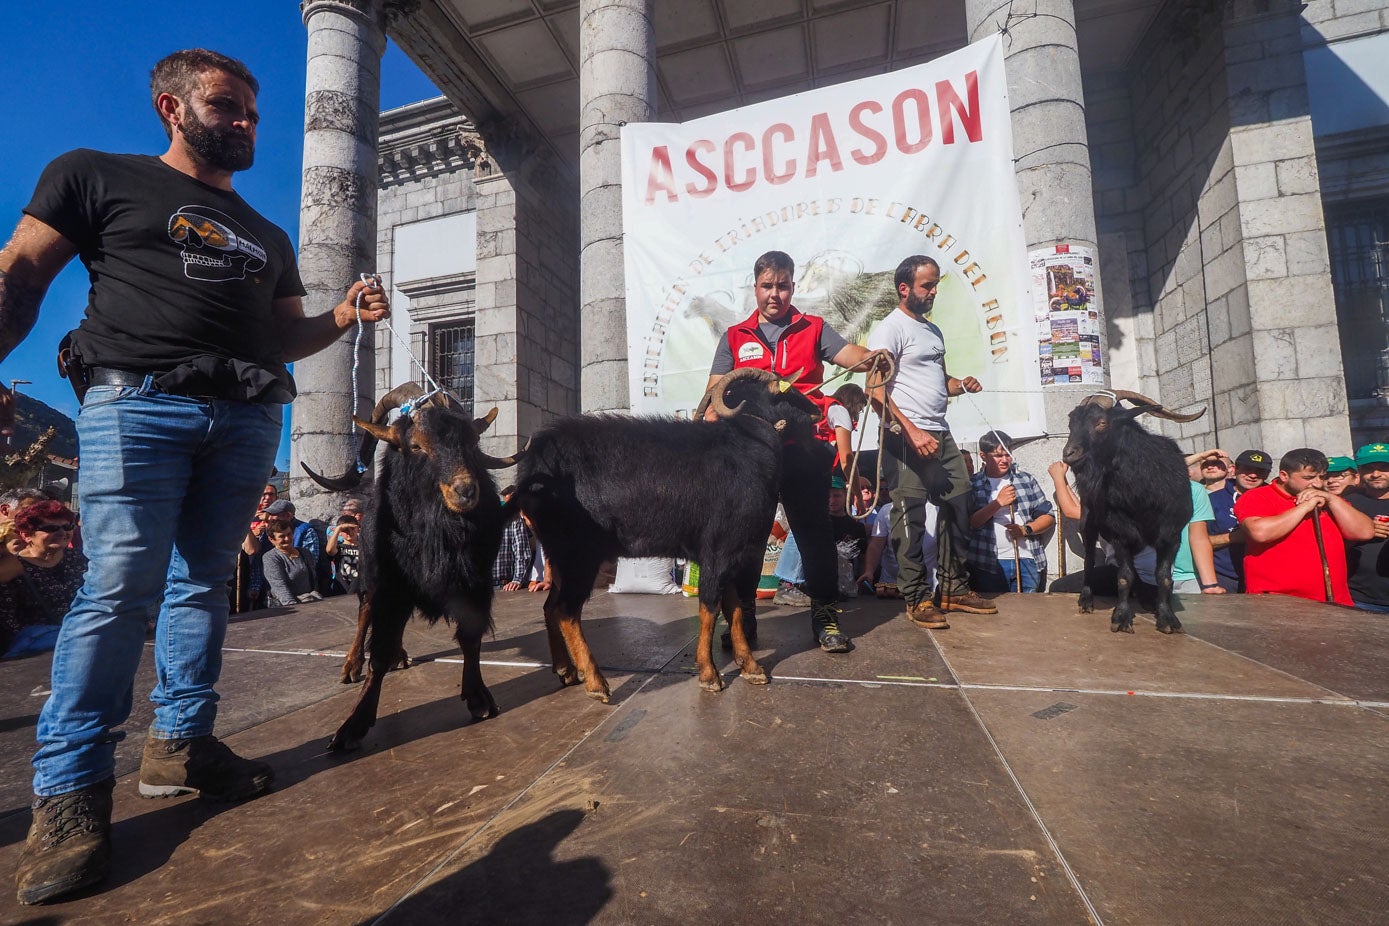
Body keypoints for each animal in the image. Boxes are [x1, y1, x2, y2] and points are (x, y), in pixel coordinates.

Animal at [304, 383, 522, 755]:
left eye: (471, 443)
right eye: (417, 446)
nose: (465, 491)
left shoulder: (475, 583)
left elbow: (470, 638)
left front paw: (479, 698)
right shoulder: (391, 586)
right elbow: (377, 651)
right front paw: (352, 727)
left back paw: (399, 655)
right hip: (370, 578)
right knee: (365, 614)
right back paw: (352, 665)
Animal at [1061, 388, 1205, 633]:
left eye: (1101, 423)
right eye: (1071, 423)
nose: (1069, 454)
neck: (1142, 494)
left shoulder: (1171, 535)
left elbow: (1163, 576)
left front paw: (1167, 619)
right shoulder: (1120, 534)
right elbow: (1124, 576)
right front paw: (1121, 617)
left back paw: (1147, 597)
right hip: (1088, 520)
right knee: (1089, 559)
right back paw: (1086, 600)